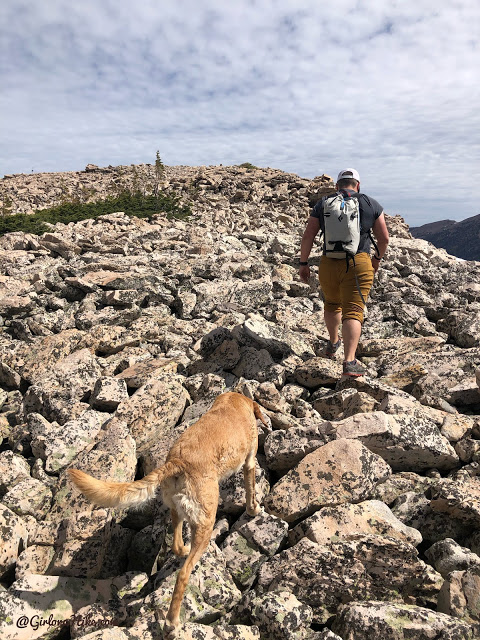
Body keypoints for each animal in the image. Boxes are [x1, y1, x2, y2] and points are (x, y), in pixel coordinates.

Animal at [67, 392, 266, 636]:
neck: (233, 401)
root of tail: (176, 462)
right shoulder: (249, 462)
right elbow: (251, 490)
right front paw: (254, 509)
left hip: (176, 509)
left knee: (177, 545)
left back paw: (184, 551)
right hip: (206, 521)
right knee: (183, 573)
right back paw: (172, 622)